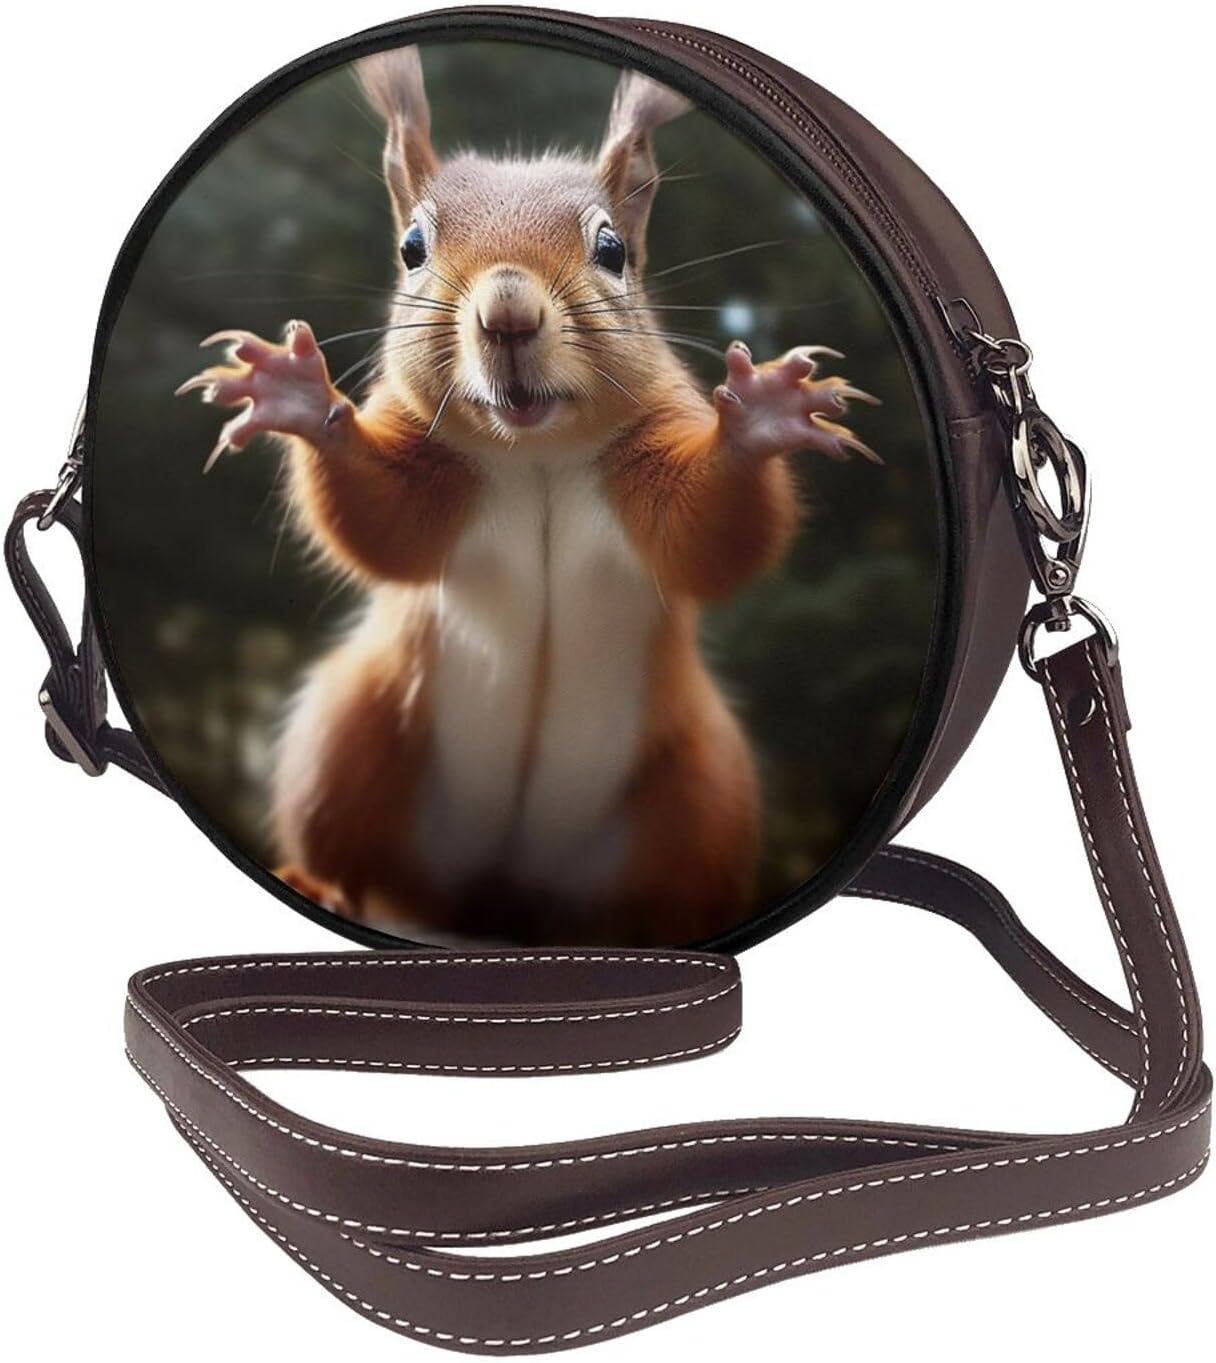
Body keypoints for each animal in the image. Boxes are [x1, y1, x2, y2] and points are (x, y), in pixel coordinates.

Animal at [176, 47, 880, 946]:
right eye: (412, 247)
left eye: (612, 248)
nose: (508, 309)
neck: (535, 454)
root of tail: (504, 902)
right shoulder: (431, 470)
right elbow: (381, 525)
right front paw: (300, 395)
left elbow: (712, 536)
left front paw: (759, 417)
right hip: (350, 733)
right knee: (360, 854)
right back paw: (324, 884)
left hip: (700, 789)